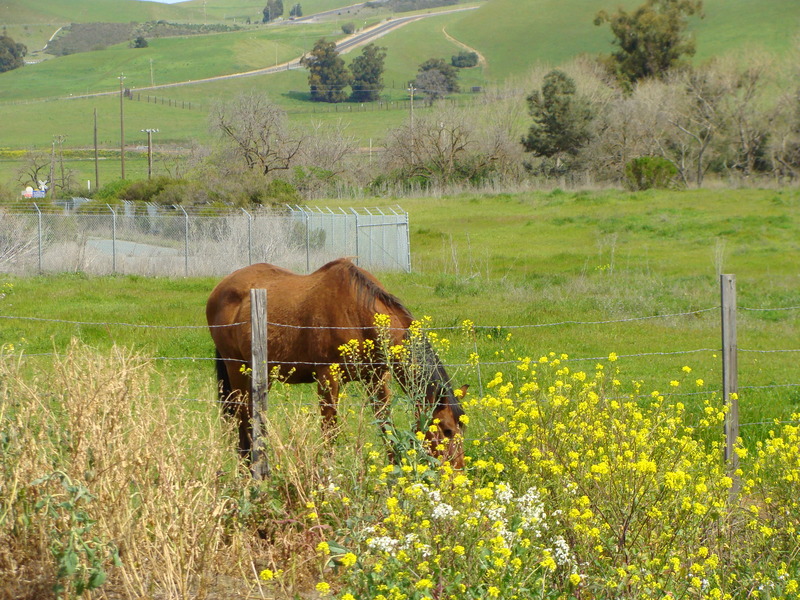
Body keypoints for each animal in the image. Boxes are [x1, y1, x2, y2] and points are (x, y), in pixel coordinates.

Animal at [206, 258, 466, 468]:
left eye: (462, 427)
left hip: (262, 375)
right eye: (447, 430)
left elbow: (386, 426)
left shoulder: (377, 379)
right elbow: (330, 433)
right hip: (237, 370)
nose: (457, 471)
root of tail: (220, 289)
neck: (358, 315)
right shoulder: (327, 378)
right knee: (244, 420)